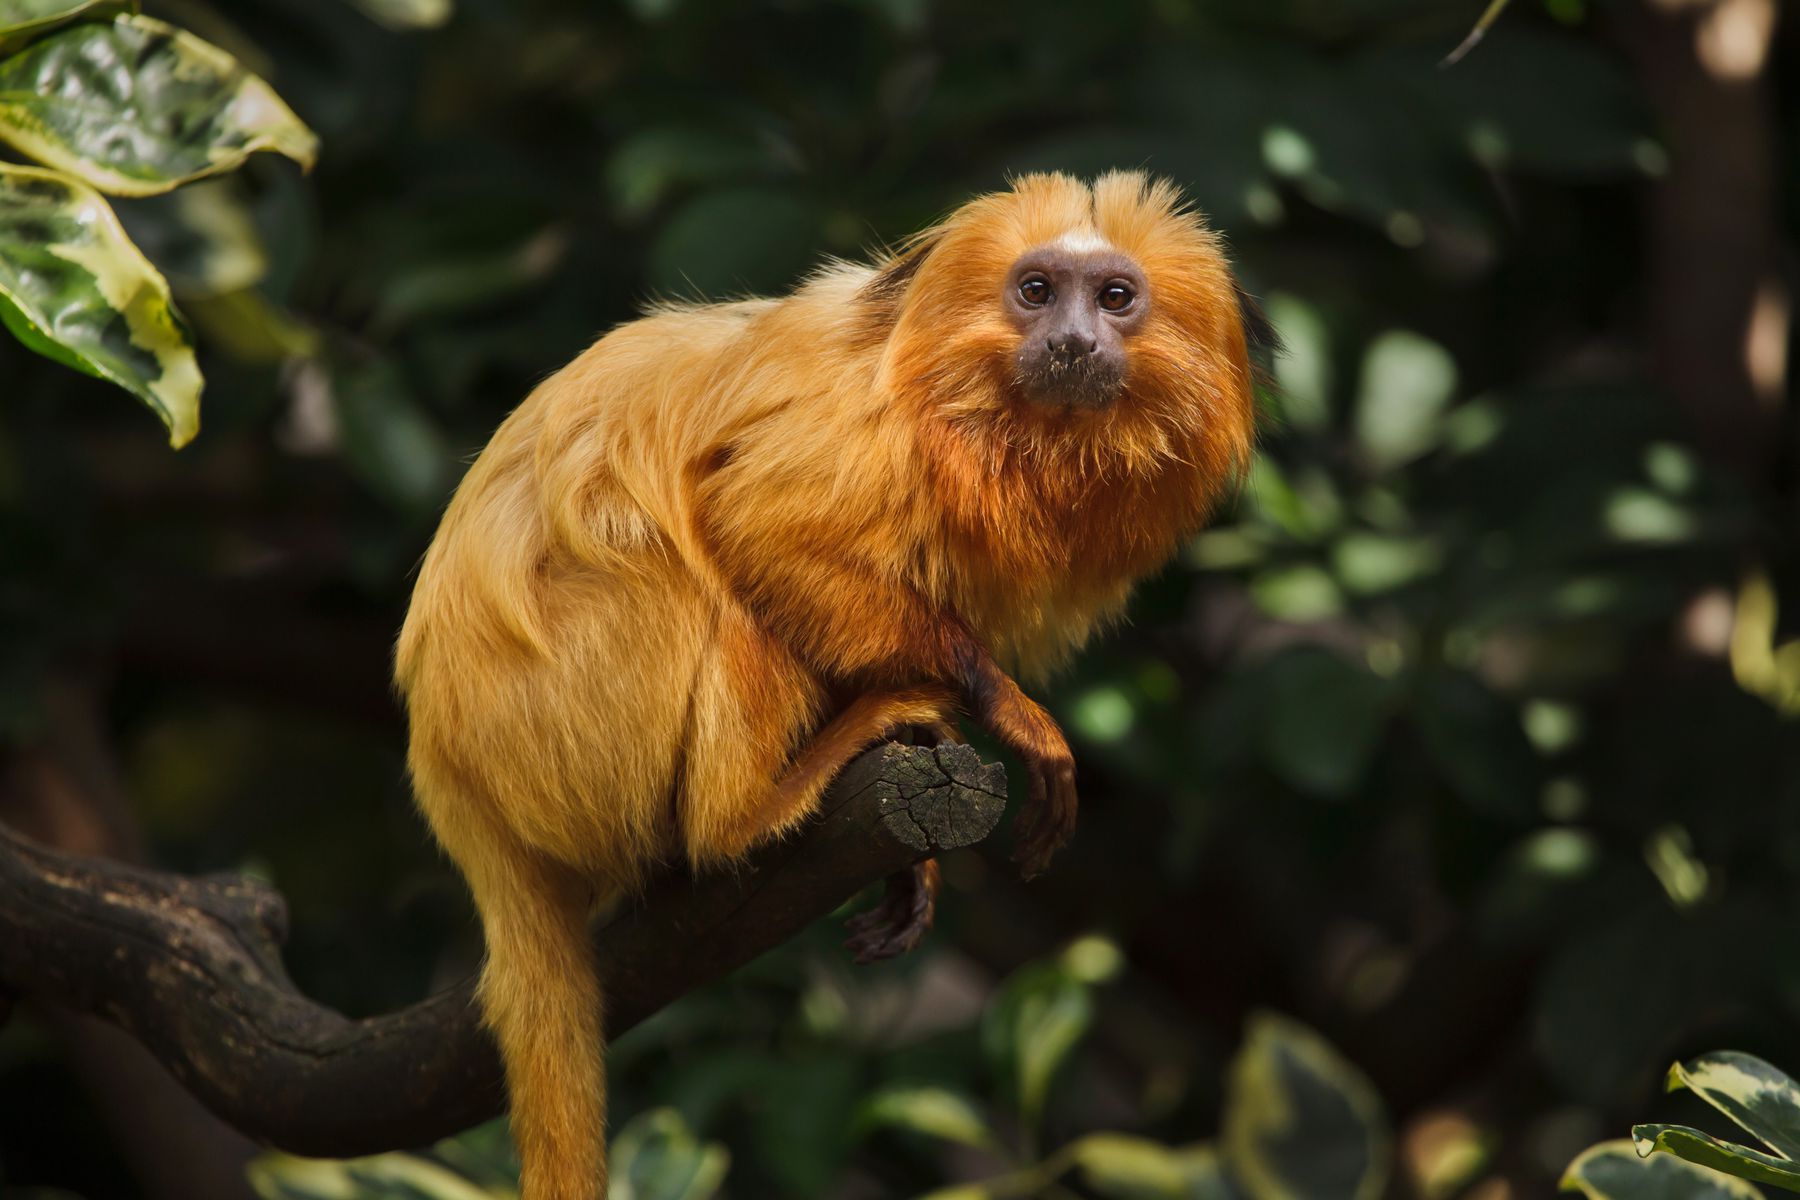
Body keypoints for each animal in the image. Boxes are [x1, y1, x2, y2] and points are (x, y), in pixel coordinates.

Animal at [394, 170, 1267, 1200]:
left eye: (1117, 297)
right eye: (1037, 291)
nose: (1071, 340)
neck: (985, 423)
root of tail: (458, 791)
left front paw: (911, 849)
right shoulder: (858, 427)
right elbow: (758, 523)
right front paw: (1008, 711)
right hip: (560, 712)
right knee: (698, 575)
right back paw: (758, 806)